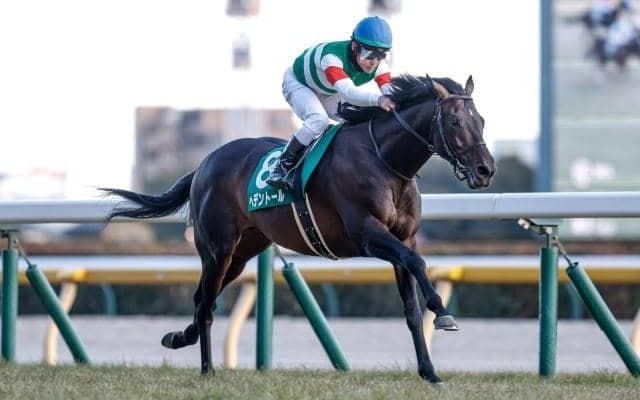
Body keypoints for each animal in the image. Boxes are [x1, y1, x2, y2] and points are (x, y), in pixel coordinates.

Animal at [100, 74, 496, 384]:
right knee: (207, 303)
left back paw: (179, 337)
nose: (485, 170)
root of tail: (205, 162)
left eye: (481, 120)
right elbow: (418, 263)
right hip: (217, 248)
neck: (385, 161)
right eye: (456, 122)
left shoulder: (404, 238)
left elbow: (411, 308)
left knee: (202, 299)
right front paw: (442, 311)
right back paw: (207, 369)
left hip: (242, 254)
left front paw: (429, 371)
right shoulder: (368, 234)